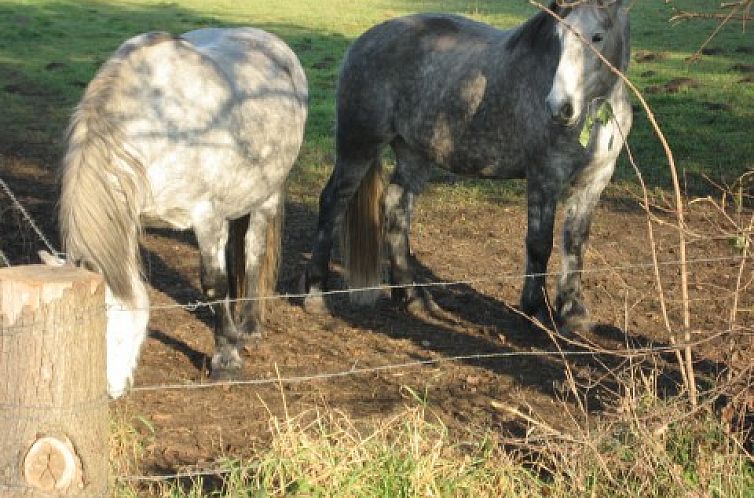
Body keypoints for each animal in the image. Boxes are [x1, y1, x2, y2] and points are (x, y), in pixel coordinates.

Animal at [302, 1, 632, 332]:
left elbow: (576, 242)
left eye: (598, 37)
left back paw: (413, 295)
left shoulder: (594, 181)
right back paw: (316, 294)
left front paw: (572, 312)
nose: (559, 107)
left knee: (396, 208)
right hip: (359, 145)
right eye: (559, 37)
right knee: (332, 202)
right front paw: (536, 309)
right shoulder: (544, 176)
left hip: (413, 154)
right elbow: (540, 243)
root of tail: (362, 41)